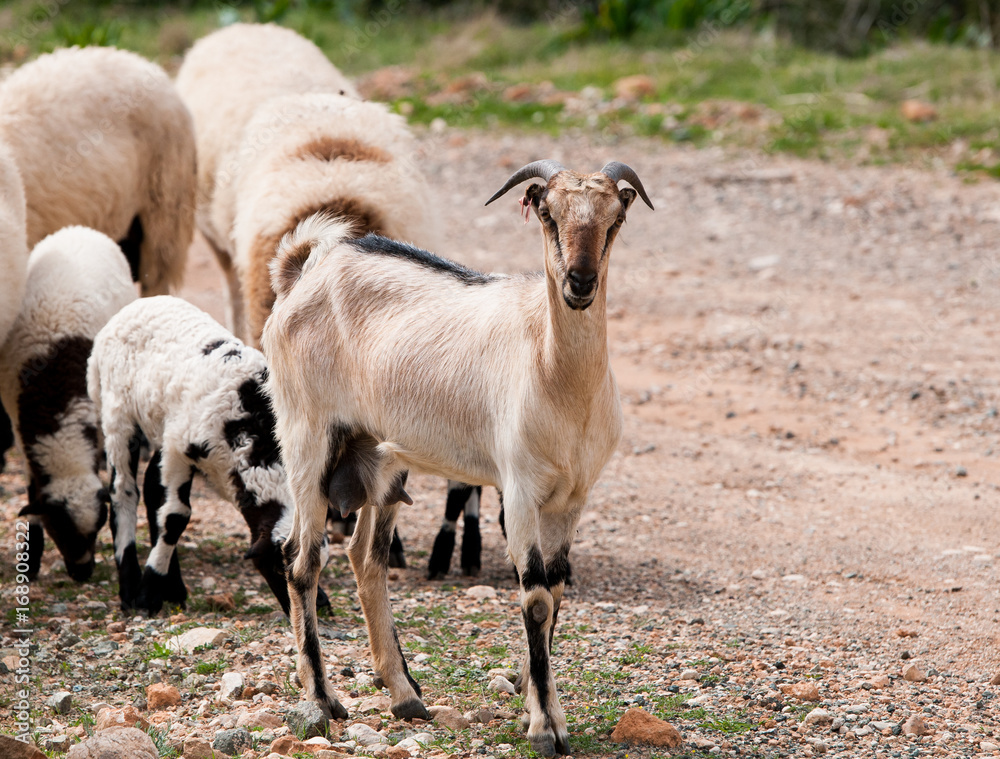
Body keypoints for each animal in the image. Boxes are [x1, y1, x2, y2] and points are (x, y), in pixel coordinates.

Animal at [262, 160, 652, 755]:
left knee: (365, 556)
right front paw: (546, 727)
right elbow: (536, 598)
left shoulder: (573, 497)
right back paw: (323, 700)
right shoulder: (519, 487)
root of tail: (301, 272)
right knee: (301, 560)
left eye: (615, 219)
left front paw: (535, 702)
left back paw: (404, 695)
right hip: (307, 437)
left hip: (381, 454)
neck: (556, 373)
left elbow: (557, 590)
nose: (580, 283)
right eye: (547, 213)